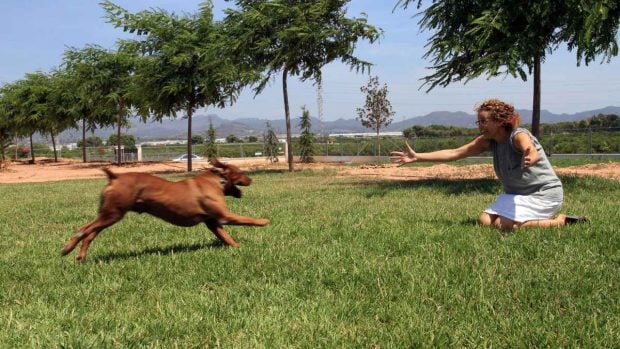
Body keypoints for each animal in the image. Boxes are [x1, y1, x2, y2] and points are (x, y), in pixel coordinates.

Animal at [60, 158, 268, 260]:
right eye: (241, 172)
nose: (252, 179)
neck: (219, 180)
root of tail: (115, 176)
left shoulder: (212, 222)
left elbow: (226, 237)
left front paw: (237, 247)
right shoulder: (224, 216)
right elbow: (248, 220)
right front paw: (264, 221)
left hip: (108, 215)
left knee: (90, 234)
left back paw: (80, 256)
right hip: (113, 214)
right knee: (84, 229)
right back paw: (67, 248)